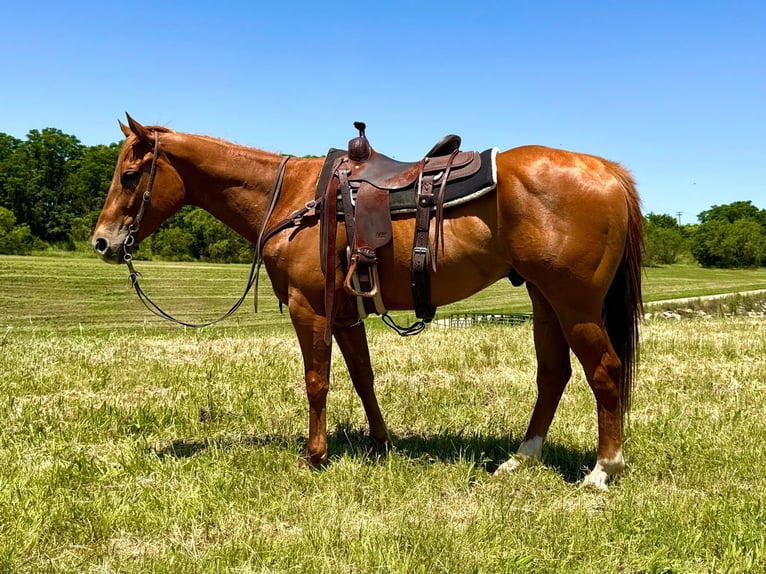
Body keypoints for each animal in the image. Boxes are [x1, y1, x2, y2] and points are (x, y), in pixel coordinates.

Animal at [93, 116, 644, 490]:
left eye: (129, 175)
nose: (102, 242)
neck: (290, 198)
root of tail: (608, 171)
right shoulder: (343, 312)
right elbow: (363, 376)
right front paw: (380, 443)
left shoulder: (310, 308)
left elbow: (317, 381)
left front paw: (314, 455)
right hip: (543, 298)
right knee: (553, 374)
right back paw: (521, 458)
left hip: (574, 303)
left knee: (605, 370)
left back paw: (602, 470)